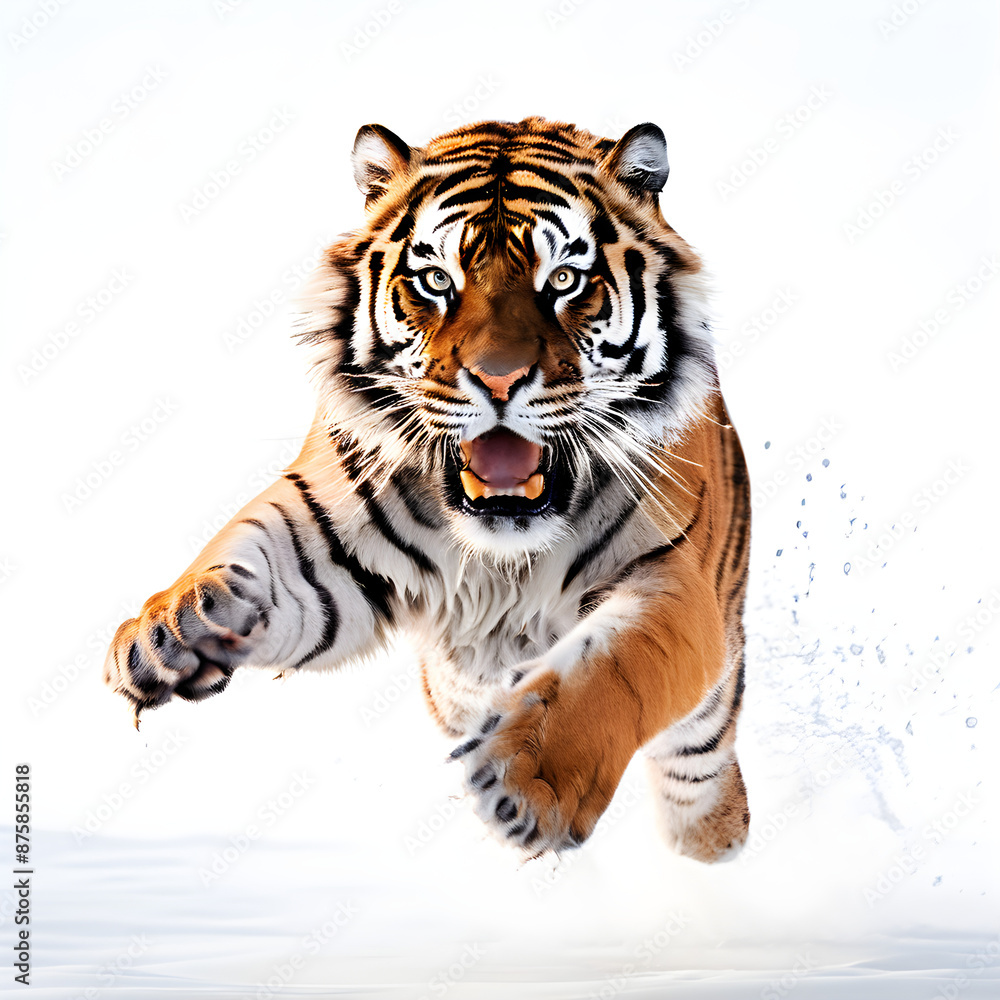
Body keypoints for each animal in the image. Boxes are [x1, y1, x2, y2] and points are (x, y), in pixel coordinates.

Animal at [105, 117, 752, 862]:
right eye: (436, 280)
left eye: (564, 279)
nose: (498, 379)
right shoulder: (327, 541)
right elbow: (245, 555)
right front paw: (170, 632)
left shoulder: (671, 578)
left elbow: (611, 670)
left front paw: (525, 778)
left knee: (698, 780)